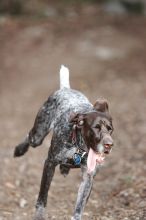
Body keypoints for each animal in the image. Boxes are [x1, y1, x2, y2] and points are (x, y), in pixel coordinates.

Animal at [13, 65, 113, 220]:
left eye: (110, 129)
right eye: (95, 128)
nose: (109, 144)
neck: (78, 147)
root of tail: (66, 89)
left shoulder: (88, 177)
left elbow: (79, 205)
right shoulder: (49, 163)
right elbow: (42, 197)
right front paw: (39, 215)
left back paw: (65, 168)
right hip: (38, 135)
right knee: (30, 137)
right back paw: (19, 149)